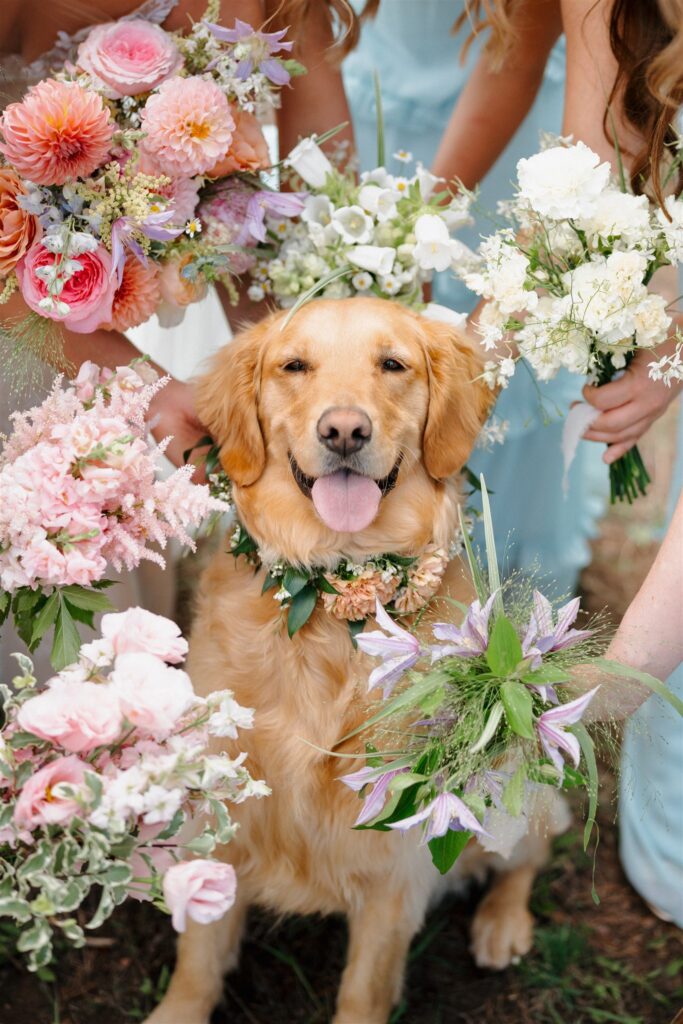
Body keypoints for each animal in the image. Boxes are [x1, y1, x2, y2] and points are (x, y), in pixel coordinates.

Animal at [148, 296, 565, 1024]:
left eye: (392, 364)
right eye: (294, 366)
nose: (344, 430)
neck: (330, 596)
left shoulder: (398, 853)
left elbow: (364, 988)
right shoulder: (221, 808)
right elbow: (197, 956)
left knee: (524, 854)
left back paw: (503, 922)